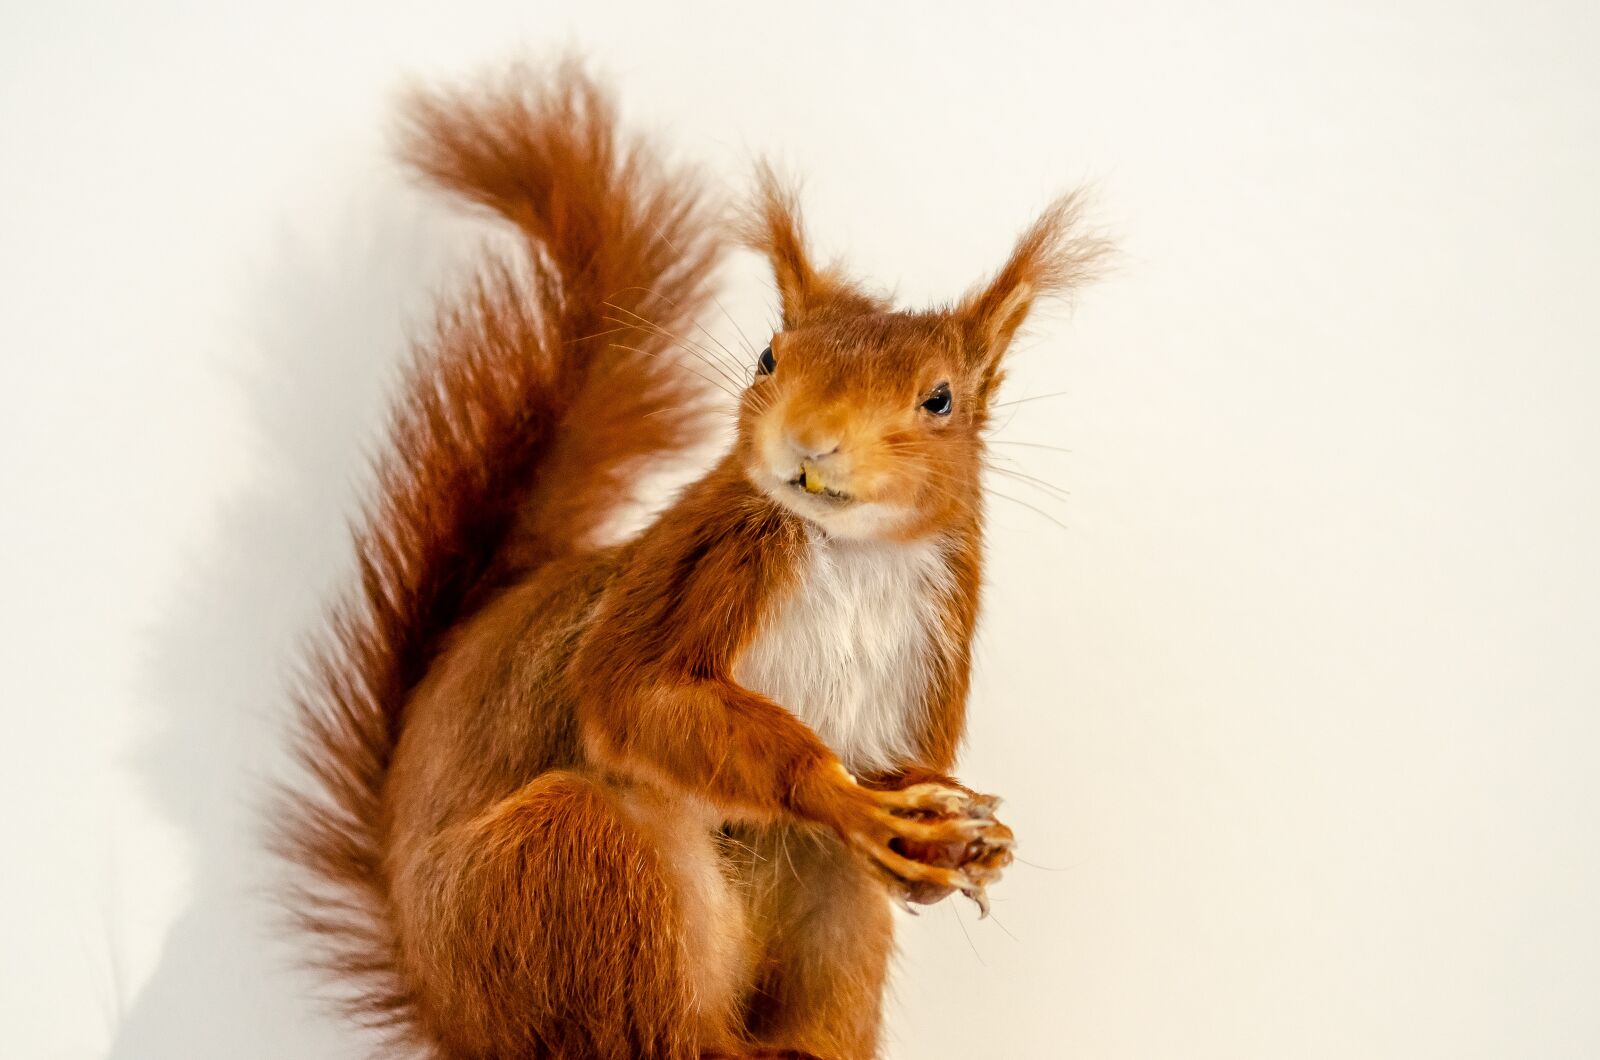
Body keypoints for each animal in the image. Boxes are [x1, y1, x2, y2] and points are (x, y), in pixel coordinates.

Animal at [280, 60, 1107, 1060]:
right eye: (767, 358)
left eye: (940, 399)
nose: (810, 442)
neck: (854, 554)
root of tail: (448, 1012)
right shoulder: (699, 566)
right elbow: (636, 694)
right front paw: (838, 793)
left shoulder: (936, 634)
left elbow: (905, 775)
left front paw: (953, 843)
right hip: (567, 872)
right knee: (651, 1019)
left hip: (801, 900)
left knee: (828, 885)